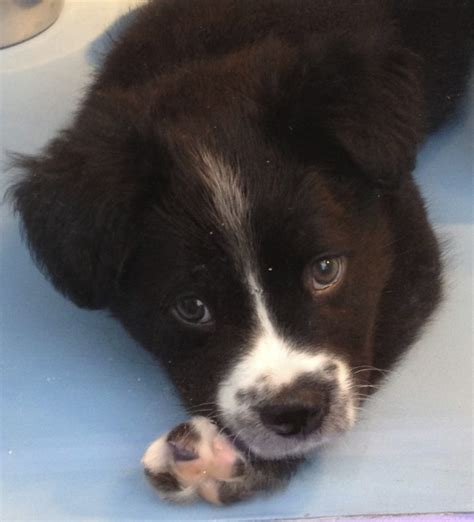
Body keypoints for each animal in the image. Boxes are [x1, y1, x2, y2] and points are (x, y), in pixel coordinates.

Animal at [9, 0, 472, 504]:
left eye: (325, 270)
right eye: (192, 308)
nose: (294, 413)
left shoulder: (409, 249)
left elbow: (371, 344)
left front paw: (236, 460)